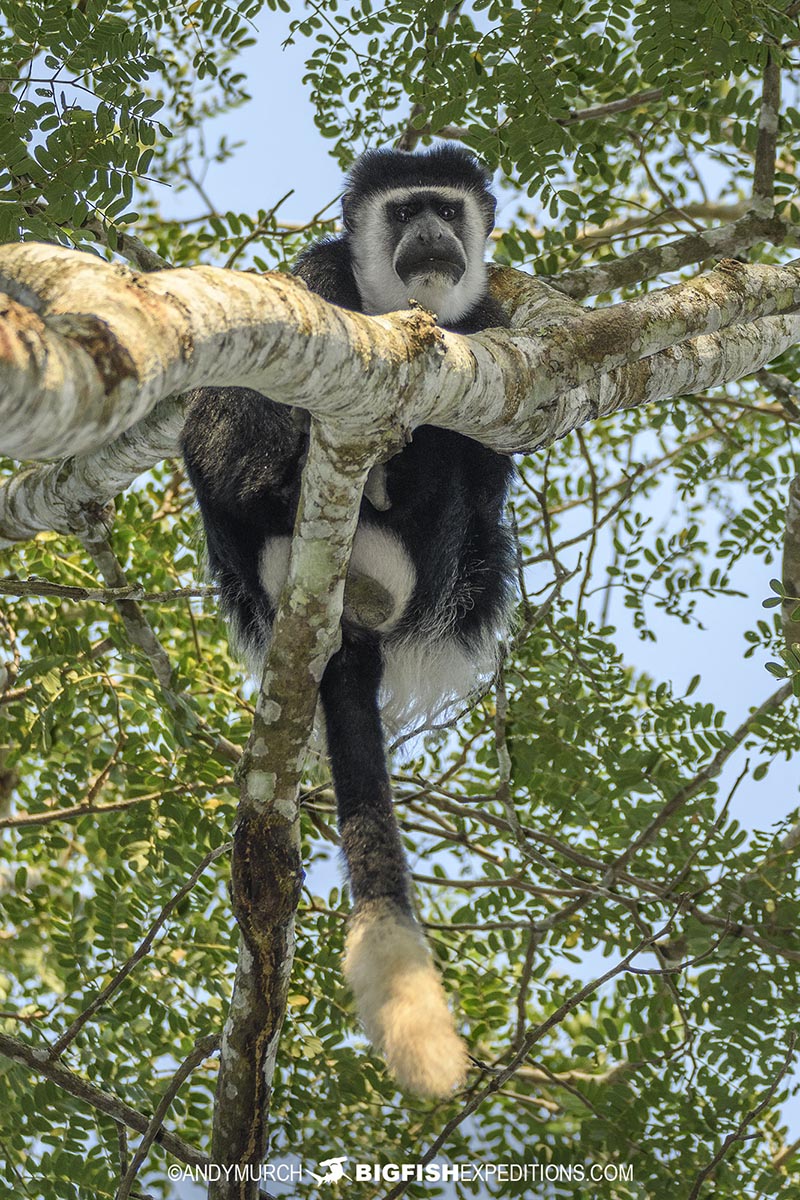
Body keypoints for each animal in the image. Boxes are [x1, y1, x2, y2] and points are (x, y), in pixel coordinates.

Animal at [181, 144, 516, 1097]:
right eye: (404, 212)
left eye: (446, 207)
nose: (433, 234)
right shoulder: (321, 270)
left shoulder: (495, 321)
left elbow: (492, 459)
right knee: (234, 417)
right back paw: (293, 478)